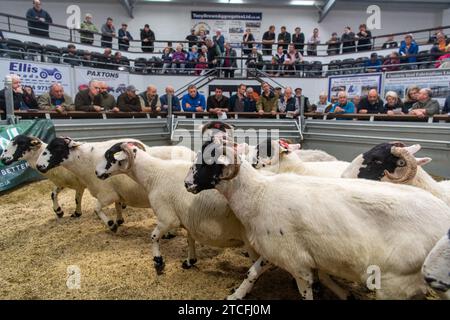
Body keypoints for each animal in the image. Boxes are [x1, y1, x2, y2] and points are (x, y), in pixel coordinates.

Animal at [35, 136, 195, 231]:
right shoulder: (118, 193)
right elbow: (118, 206)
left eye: (57, 147)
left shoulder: (107, 194)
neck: (86, 161)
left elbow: (97, 208)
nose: (39, 166)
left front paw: (111, 224)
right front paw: (119, 220)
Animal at [93, 142, 258, 276]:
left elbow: (153, 236)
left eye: (109, 157)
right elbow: (190, 240)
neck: (154, 175)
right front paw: (190, 261)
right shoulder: (188, 218)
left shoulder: (168, 218)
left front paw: (158, 261)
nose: (96, 172)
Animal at [185, 140, 450, 300]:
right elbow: (251, 273)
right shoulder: (278, 250)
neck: (258, 194)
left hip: (394, 284)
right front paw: (236, 295)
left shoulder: (298, 264)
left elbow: (307, 291)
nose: (187, 184)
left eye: (207, 163)